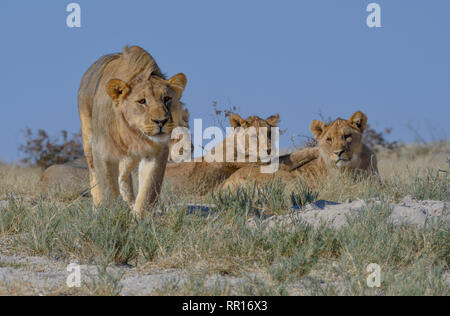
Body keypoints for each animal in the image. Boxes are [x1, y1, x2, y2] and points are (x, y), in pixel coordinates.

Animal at [78, 45, 187, 217]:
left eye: (167, 99)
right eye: (142, 101)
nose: (161, 121)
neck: (132, 134)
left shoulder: (156, 153)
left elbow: (148, 190)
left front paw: (139, 217)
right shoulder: (102, 152)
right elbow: (107, 188)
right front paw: (110, 214)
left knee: (124, 178)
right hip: (88, 140)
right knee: (94, 175)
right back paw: (97, 207)